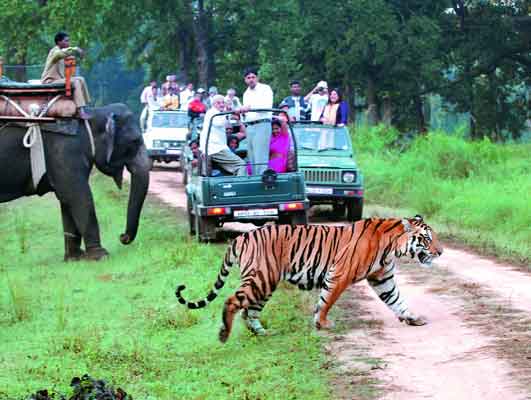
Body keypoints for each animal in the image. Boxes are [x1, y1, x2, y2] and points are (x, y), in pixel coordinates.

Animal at [0, 102, 151, 260]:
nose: (122, 237)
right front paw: (100, 256)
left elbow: (66, 200)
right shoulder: (65, 149)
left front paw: (75, 258)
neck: (93, 115)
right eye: (135, 141)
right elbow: (78, 196)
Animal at [177, 216, 442, 344]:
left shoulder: (382, 278)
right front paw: (322, 323)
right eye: (427, 239)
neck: (392, 247)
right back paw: (224, 334)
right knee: (233, 302)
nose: (440, 252)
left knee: (248, 311)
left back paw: (262, 333)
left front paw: (412, 318)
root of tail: (241, 237)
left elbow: (396, 300)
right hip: (261, 278)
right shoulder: (340, 274)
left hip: (265, 282)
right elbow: (327, 299)